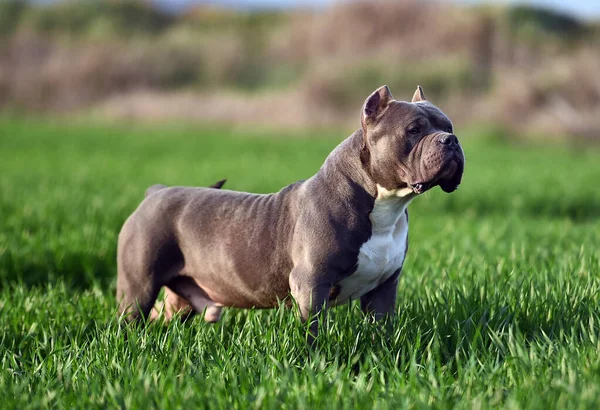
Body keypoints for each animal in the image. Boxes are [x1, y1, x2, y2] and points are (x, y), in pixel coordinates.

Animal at [116, 85, 464, 338]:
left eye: (449, 126)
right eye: (414, 130)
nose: (451, 140)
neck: (385, 206)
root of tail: (156, 192)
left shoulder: (382, 290)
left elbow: (382, 331)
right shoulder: (311, 285)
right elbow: (313, 333)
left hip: (181, 298)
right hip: (138, 286)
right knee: (131, 315)